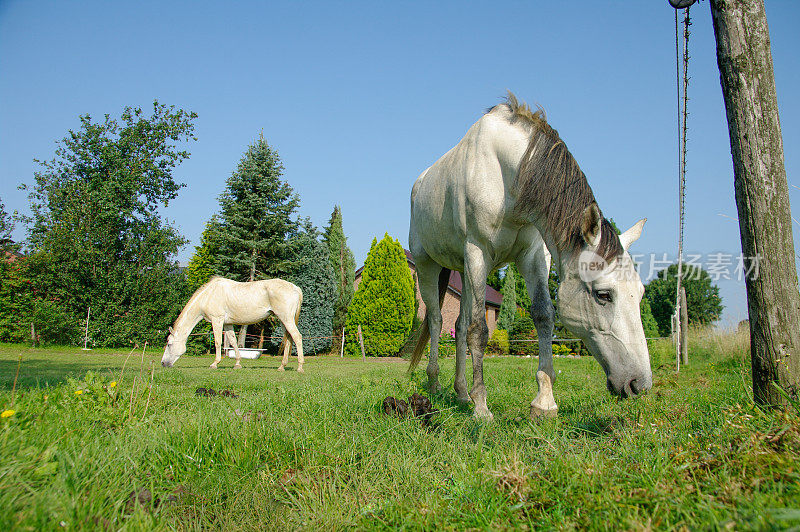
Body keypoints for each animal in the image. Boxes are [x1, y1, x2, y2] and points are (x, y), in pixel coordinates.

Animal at [161, 276, 304, 372]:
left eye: (169, 344)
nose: (163, 363)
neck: (209, 295)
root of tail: (295, 288)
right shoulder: (227, 324)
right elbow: (233, 342)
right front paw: (237, 364)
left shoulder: (217, 320)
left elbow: (218, 342)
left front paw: (215, 364)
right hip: (283, 320)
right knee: (289, 338)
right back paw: (282, 366)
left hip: (286, 318)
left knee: (297, 337)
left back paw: (300, 367)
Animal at [412, 94, 648, 420]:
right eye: (603, 295)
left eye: (640, 293)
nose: (640, 384)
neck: (506, 172)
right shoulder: (477, 253)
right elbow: (479, 330)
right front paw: (481, 407)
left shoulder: (534, 257)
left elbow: (543, 316)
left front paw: (544, 402)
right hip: (429, 266)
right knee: (436, 320)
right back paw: (435, 385)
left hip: (464, 269)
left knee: (458, 326)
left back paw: (460, 393)